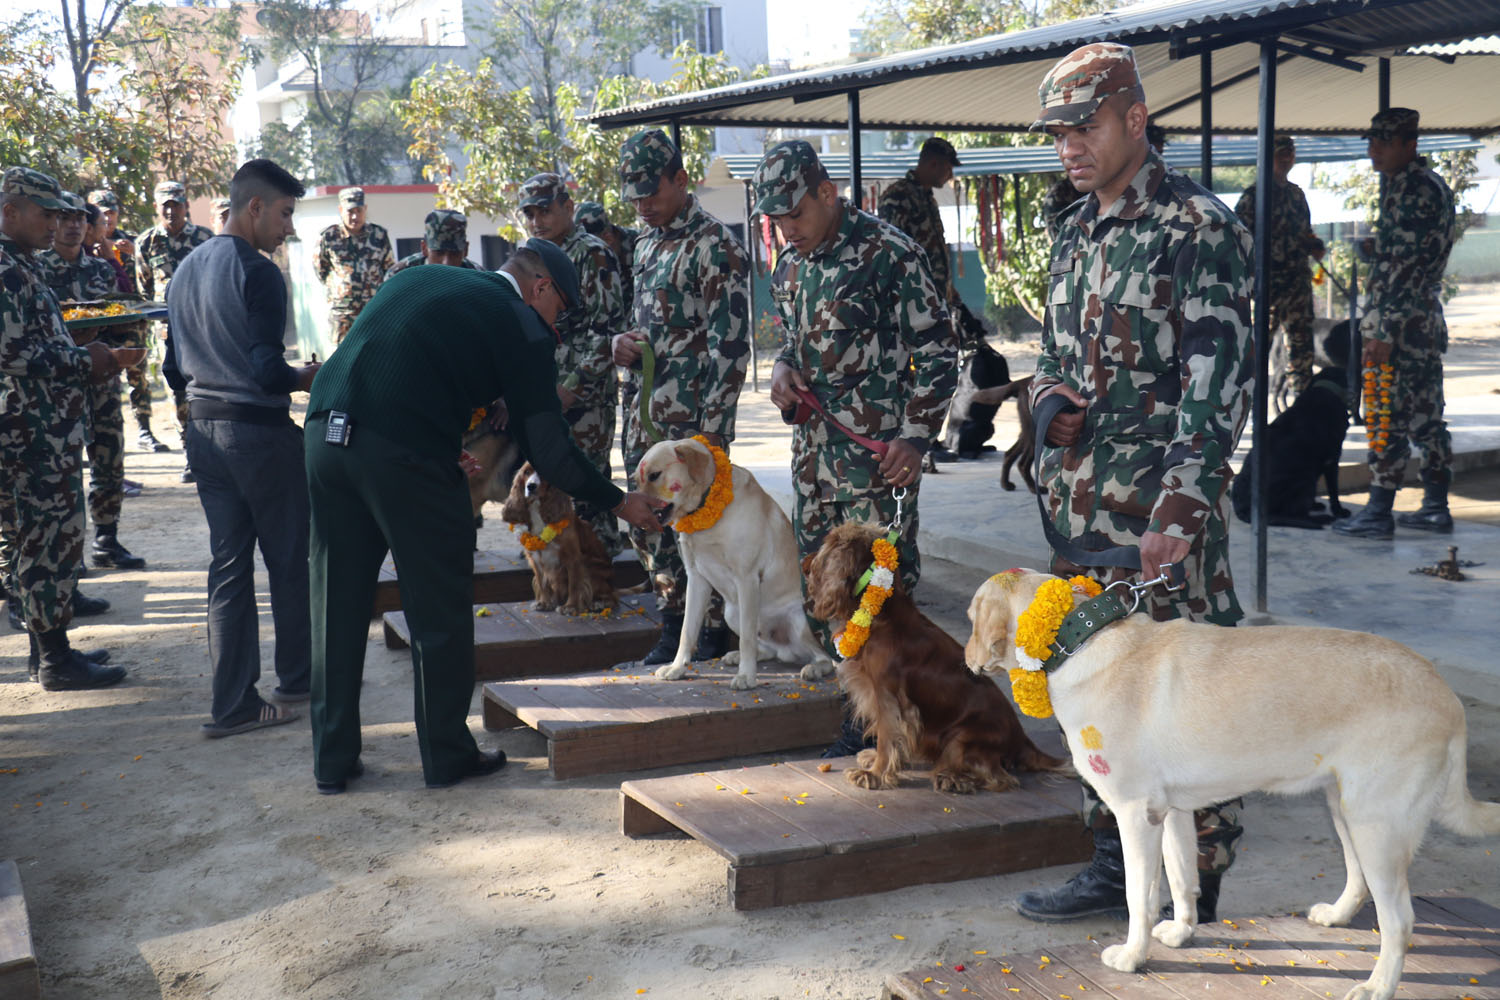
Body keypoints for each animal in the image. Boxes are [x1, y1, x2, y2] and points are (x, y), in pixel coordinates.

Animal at [498, 464, 615, 617]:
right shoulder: (535, 558)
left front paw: (570, 607)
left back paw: (598, 603)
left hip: (593, 565)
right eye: (526, 472)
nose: (531, 486)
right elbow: (542, 581)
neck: (538, 510)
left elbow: (574, 584)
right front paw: (544, 603)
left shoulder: (573, 558)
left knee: (612, 597)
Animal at [633, 440, 834, 692]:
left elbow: (746, 638)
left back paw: (814, 668)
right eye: (636, 481)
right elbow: (687, 631)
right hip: (731, 613)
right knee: (767, 649)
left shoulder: (746, 578)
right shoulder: (696, 578)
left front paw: (746, 676)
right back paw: (740, 656)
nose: (637, 525)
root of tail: (787, 651)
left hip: (798, 619)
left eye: (655, 475)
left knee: (826, 658)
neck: (705, 506)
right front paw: (677, 668)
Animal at [804, 524, 1074, 797]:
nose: (805, 563)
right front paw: (879, 763)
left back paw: (953, 779)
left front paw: (875, 775)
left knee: (998, 777)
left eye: (825, 545)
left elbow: (887, 735)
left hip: (961, 736)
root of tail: (1022, 739)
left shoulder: (887, 696)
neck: (882, 615)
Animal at [960, 569, 1500, 1000]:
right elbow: (1182, 878)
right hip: (1345, 809)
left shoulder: (1134, 815)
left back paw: (1378, 986)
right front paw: (1180, 933)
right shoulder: (1172, 813)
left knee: (1400, 919)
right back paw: (1338, 916)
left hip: (1376, 825)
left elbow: (1138, 896)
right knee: (1361, 882)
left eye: (969, 618)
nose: (966, 659)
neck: (1078, 639)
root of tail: (1444, 692)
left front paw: (1133, 957)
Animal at [1236, 328, 1356, 530]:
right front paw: (1338, 510)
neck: (1324, 390)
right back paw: (1320, 519)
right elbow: (1333, 490)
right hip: (1305, 480)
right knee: (1289, 514)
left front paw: (1317, 505)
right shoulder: (1332, 459)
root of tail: (1246, 510)